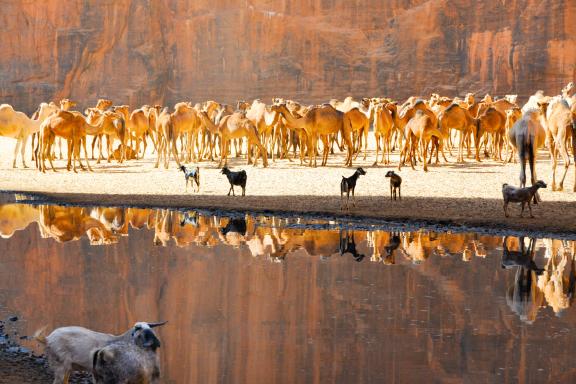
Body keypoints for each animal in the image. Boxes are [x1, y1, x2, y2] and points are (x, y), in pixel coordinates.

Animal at [35, 320, 165, 380]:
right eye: (140, 330)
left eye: (150, 329)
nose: (157, 343)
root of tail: (47, 339)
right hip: (60, 364)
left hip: (66, 367)